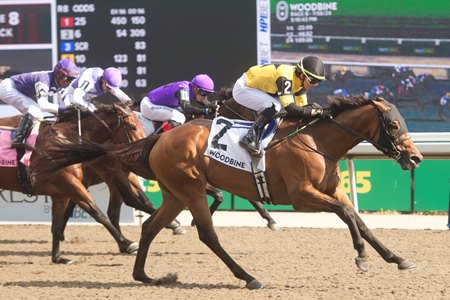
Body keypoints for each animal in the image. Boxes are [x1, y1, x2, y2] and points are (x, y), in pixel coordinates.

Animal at [34, 96, 422, 288]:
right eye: (393, 125)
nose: (416, 157)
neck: (317, 141)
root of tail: (160, 138)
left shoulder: (332, 190)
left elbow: (358, 218)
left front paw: (396, 258)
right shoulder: (301, 196)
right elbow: (346, 216)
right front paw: (361, 257)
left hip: (175, 193)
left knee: (150, 227)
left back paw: (144, 275)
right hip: (190, 188)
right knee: (207, 234)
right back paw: (248, 277)